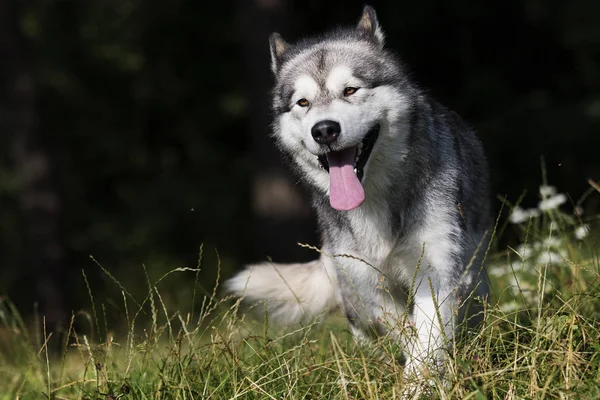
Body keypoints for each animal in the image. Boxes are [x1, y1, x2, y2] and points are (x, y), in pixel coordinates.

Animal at [227, 3, 490, 382]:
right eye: (303, 103)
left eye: (350, 90)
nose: (324, 130)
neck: (375, 202)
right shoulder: (369, 287)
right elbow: (406, 331)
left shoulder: (437, 270)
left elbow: (427, 337)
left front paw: (421, 382)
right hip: (351, 294)